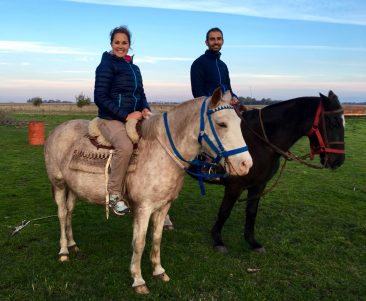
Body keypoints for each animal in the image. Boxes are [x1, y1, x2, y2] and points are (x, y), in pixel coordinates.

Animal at [44, 86, 253, 292]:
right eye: (222, 124)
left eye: (240, 123)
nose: (246, 164)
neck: (161, 153)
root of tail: (57, 130)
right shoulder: (143, 209)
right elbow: (139, 242)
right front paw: (138, 279)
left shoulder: (163, 207)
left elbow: (157, 238)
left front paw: (159, 271)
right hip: (59, 184)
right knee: (62, 214)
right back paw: (63, 251)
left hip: (73, 188)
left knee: (69, 212)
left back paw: (72, 244)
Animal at [209, 90, 346, 252]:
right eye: (333, 123)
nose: (338, 161)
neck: (259, 141)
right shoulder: (235, 185)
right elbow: (224, 211)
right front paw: (217, 239)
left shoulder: (258, 185)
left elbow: (251, 212)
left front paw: (252, 242)